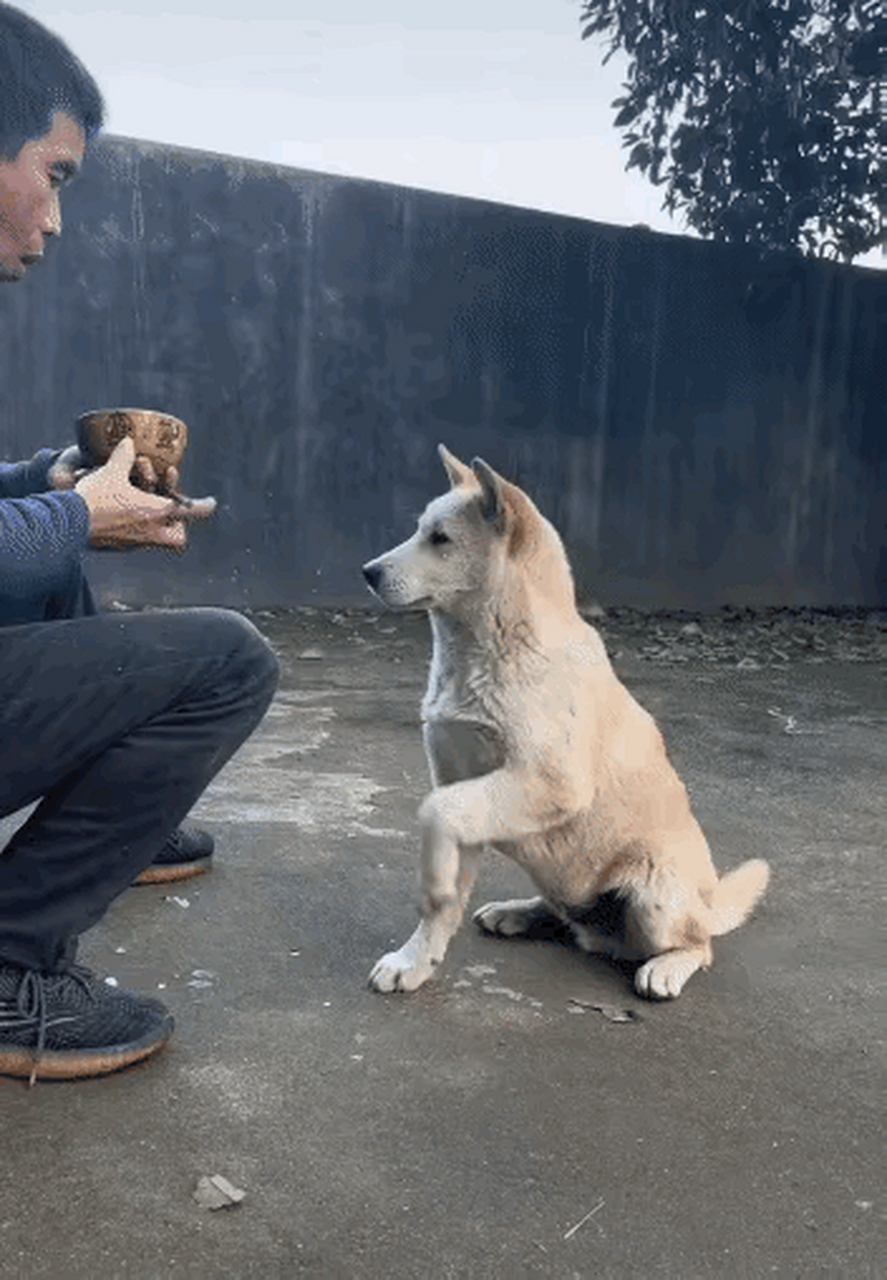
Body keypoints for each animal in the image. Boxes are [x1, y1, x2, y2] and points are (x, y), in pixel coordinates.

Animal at [360, 450, 767, 998]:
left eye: (440, 538)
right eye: (419, 530)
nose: (367, 572)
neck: (492, 649)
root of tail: (707, 902)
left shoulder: (548, 784)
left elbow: (435, 813)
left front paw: (433, 884)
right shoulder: (469, 788)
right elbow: (442, 901)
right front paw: (415, 961)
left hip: (656, 898)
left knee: (698, 947)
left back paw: (665, 967)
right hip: (565, 882)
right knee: (568, 919)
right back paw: (519, 913)